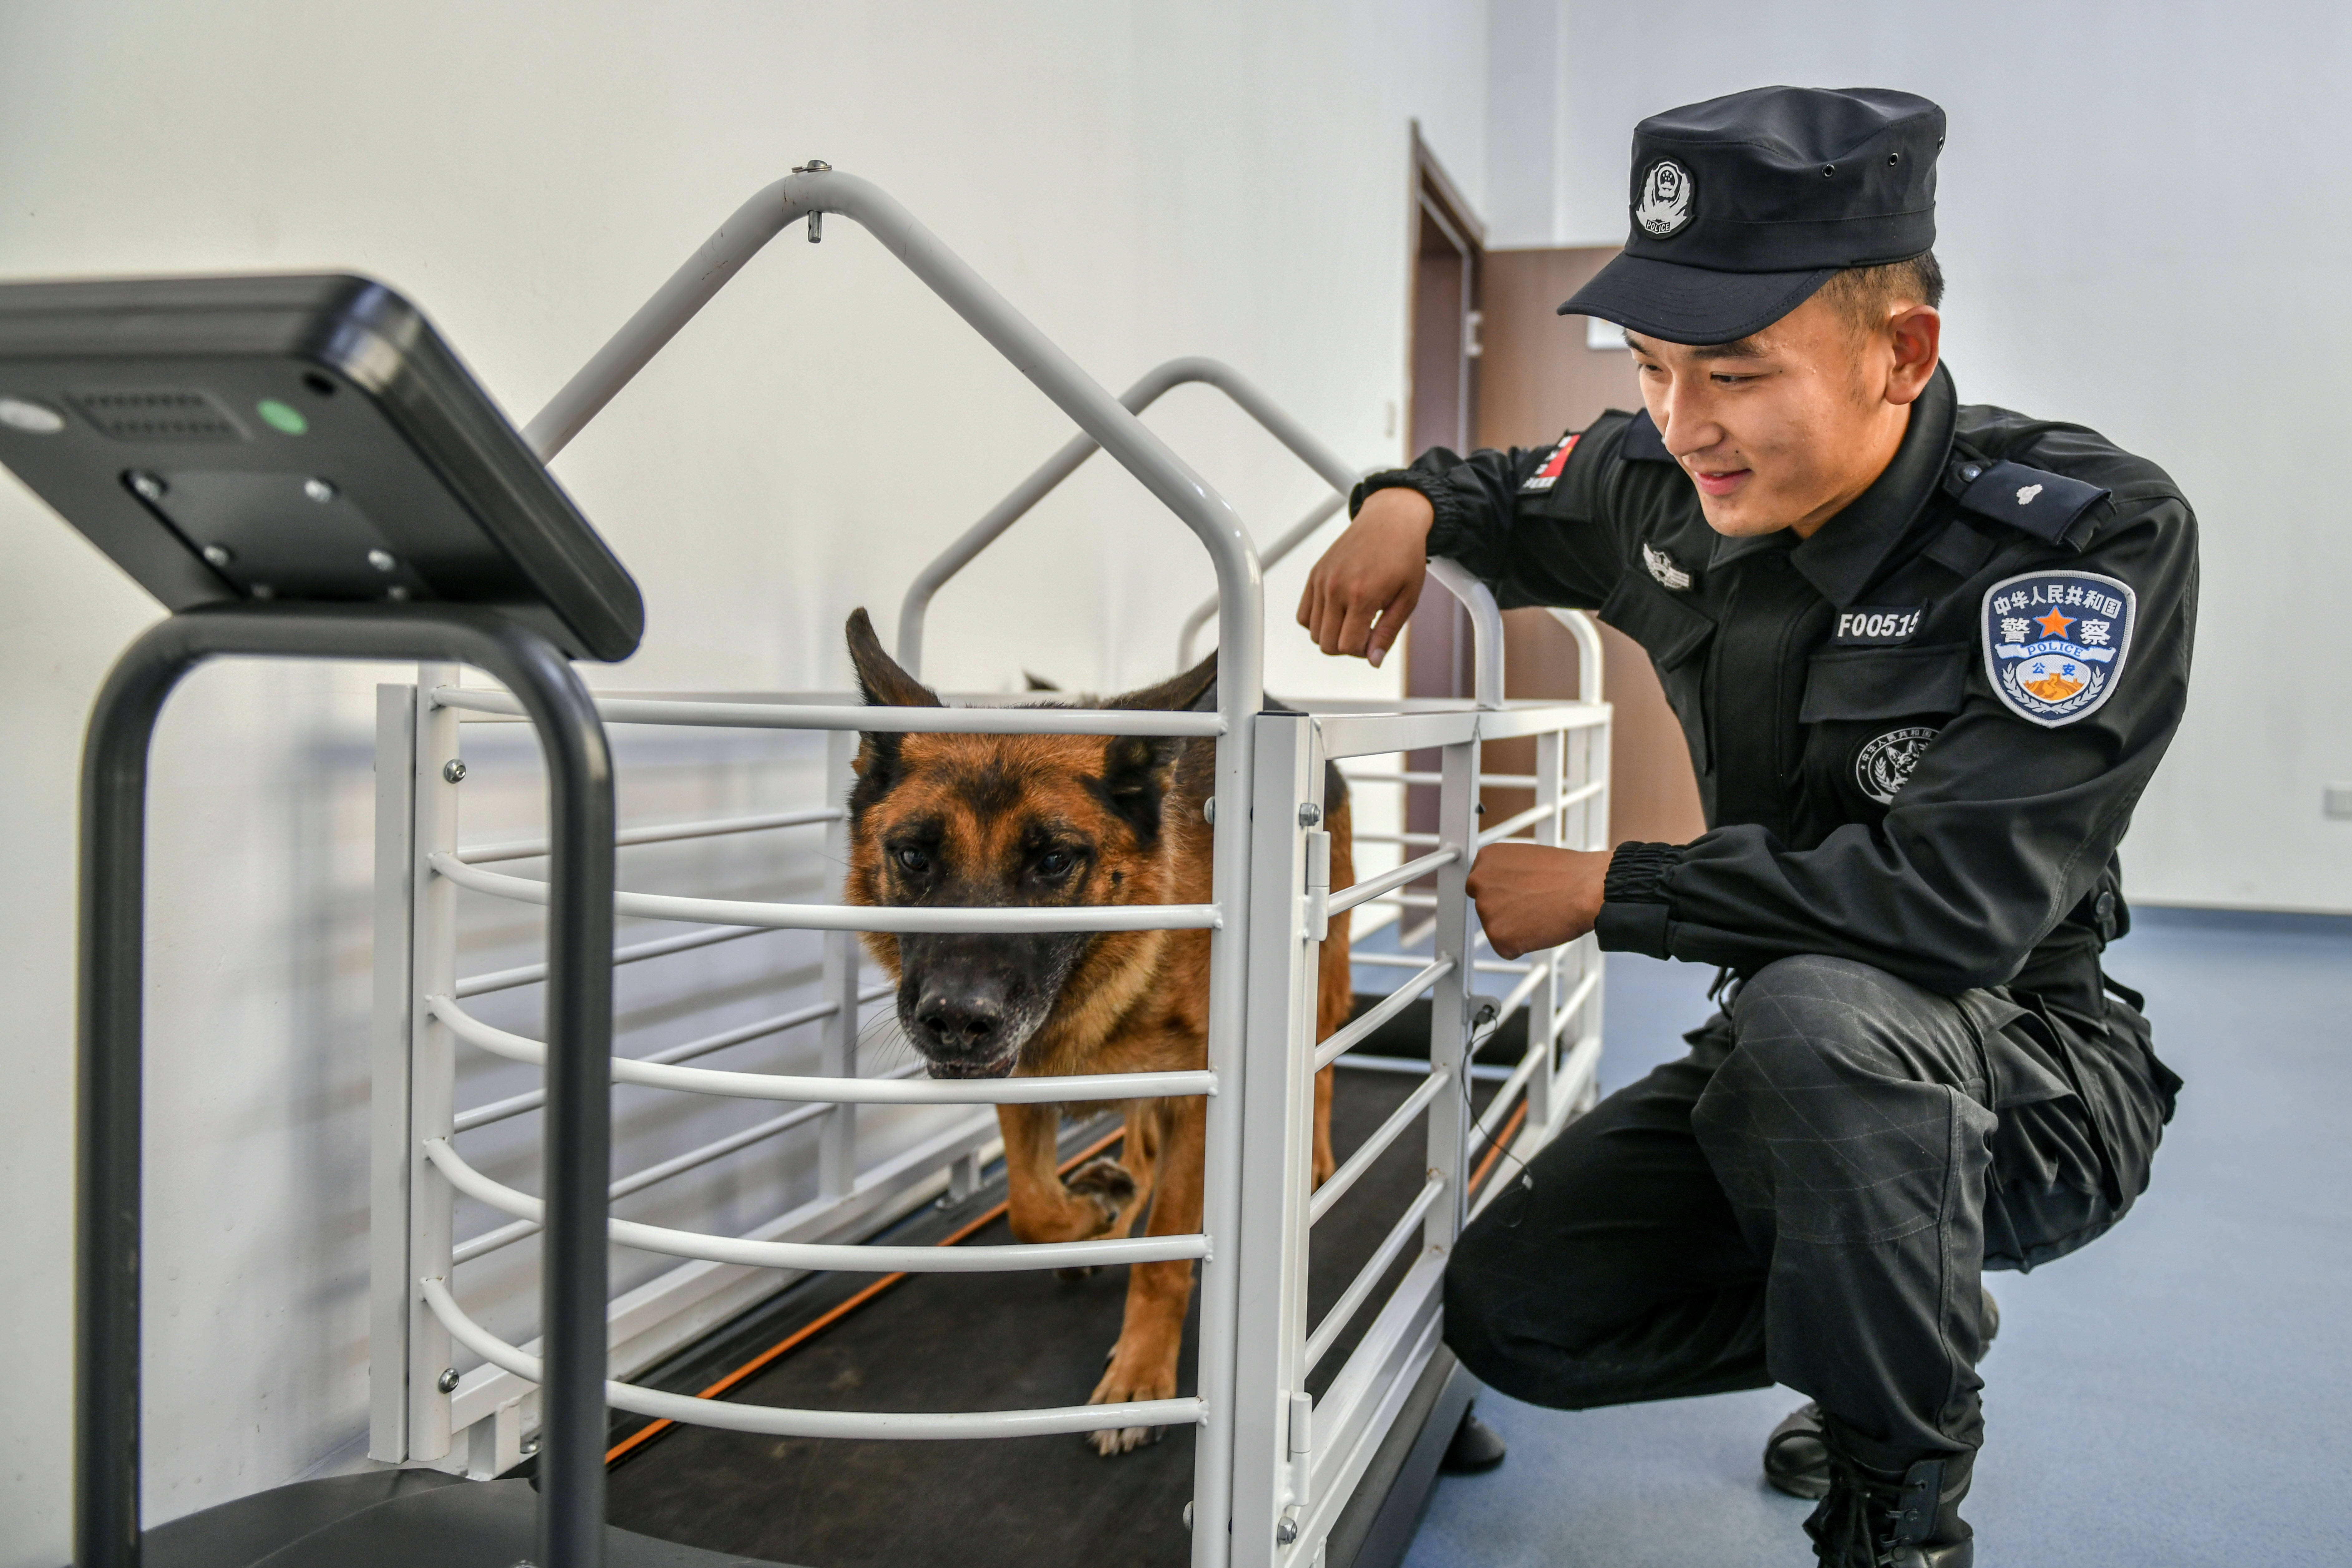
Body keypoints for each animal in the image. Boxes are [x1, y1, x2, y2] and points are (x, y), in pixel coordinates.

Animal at [847, 611, 1364, 1457]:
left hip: (1320, 983)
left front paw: (1141, 1377)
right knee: (1134, 1148)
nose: (956, 1021)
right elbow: (1030, 1209)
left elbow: (1166, 1259)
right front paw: (1092, 1216)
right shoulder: (1022, 1083)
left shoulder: (1196, 1105)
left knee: (1319, 1069)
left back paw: (1312, 1158)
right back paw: (1118, 1199)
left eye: (1055, 860)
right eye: (915, 855)